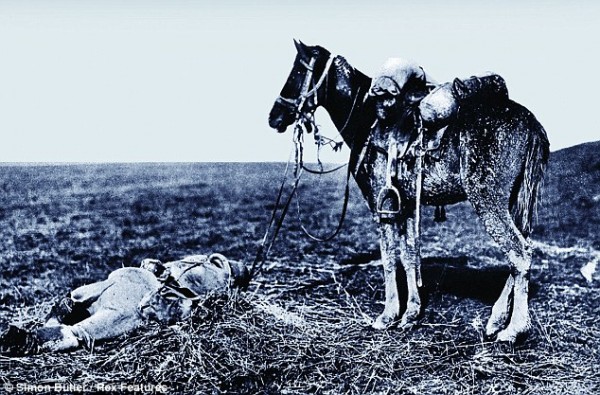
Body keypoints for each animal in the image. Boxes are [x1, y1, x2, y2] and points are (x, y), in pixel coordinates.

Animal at [270, 41, 552, 344]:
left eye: (298, 70)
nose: (274, 116)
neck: (365, 120)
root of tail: (531, 122)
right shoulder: (404, 204)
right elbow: (409, 256)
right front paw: (411, 315)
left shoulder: (382, 204)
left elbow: (389, 257)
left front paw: (387, 316)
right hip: (514, 201)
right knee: (521, 250)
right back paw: (496, 320)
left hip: (488, 199)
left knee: (519, 252)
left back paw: (514, 329)